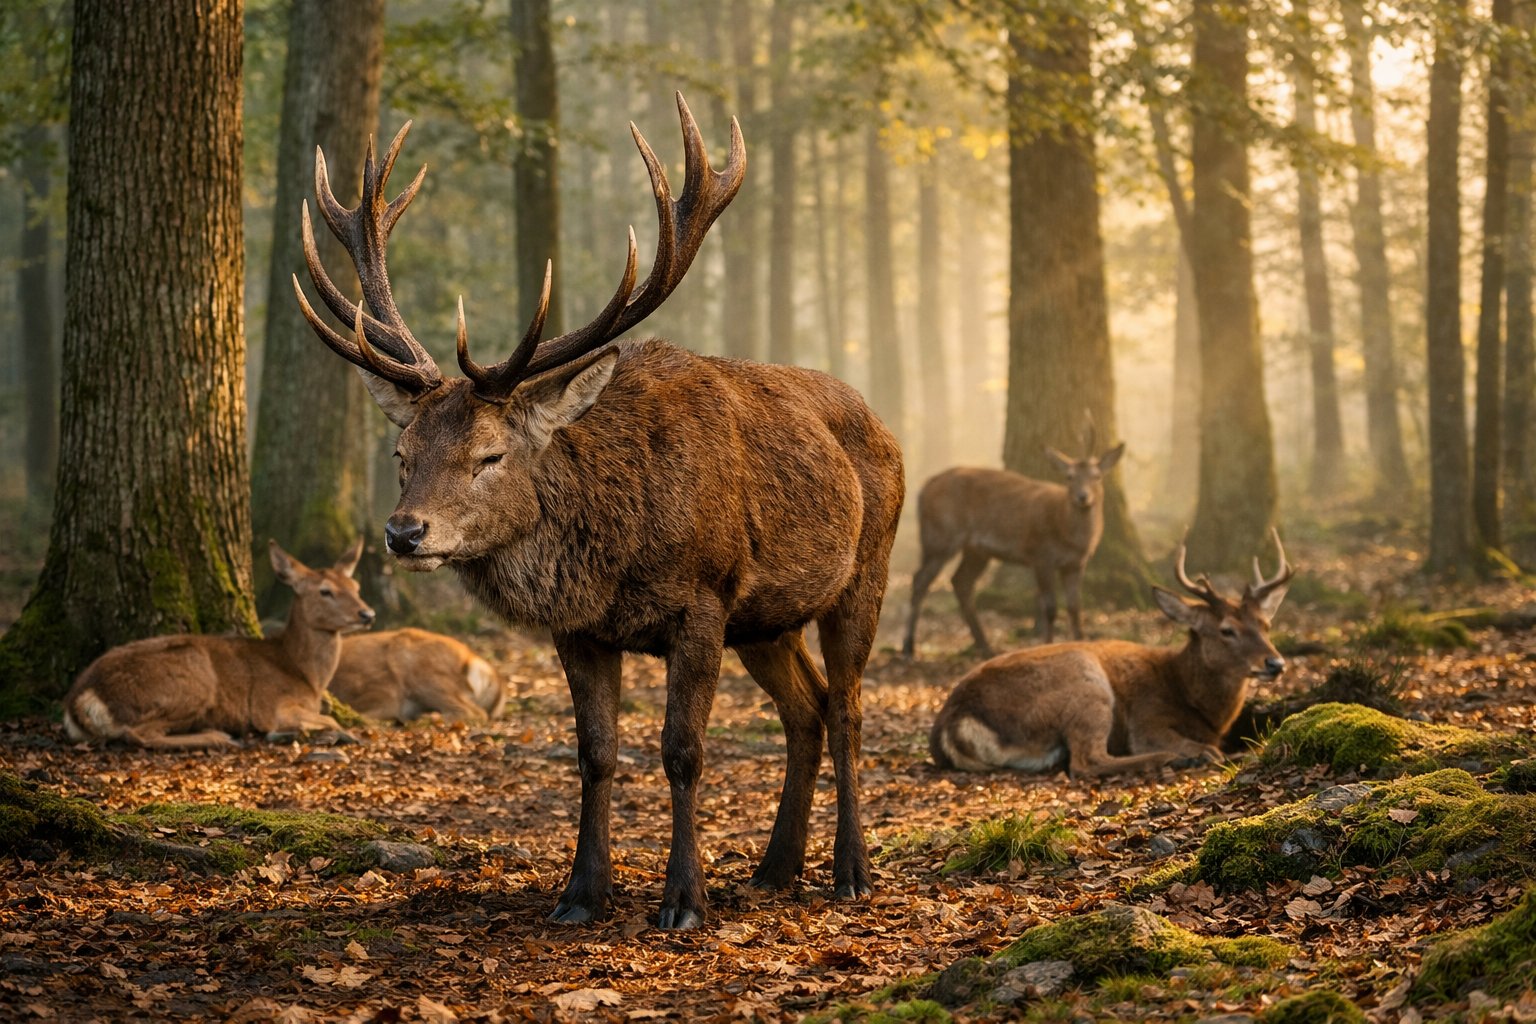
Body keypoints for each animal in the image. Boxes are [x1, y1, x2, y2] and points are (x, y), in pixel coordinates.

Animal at [63, 540, 374, 750]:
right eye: (325, 591)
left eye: (356, 588)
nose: (368, 614)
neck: (304, 674)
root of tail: (80, 700)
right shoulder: (269, 705)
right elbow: (330, 721)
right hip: (190, 678)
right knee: (140, 734)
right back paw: (218, 737)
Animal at [902, 427, 1125, 659]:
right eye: (1069, 477)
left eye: (1097, 476)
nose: (1083, 497)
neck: (1070, 536)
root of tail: (924, 487)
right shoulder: (1041, 555)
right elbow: (1050, 607)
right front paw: (1047, 644)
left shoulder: (1076, 563)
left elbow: (1075, 607)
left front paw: (1082, 642)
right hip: (939, 535)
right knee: (920, 580)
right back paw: (908, 646)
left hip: (976, 550)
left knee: (961, 581)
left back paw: (985, 645)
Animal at [929, 532, 1293, 778]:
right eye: (1226, 630)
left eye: (1266, 624)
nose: (1275, 663)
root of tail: (953, 722)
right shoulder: (1147, 719)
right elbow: (1193, 745)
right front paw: (1195, 752)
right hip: (1085, 680)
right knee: (1086, 761)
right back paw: (1170, 758)